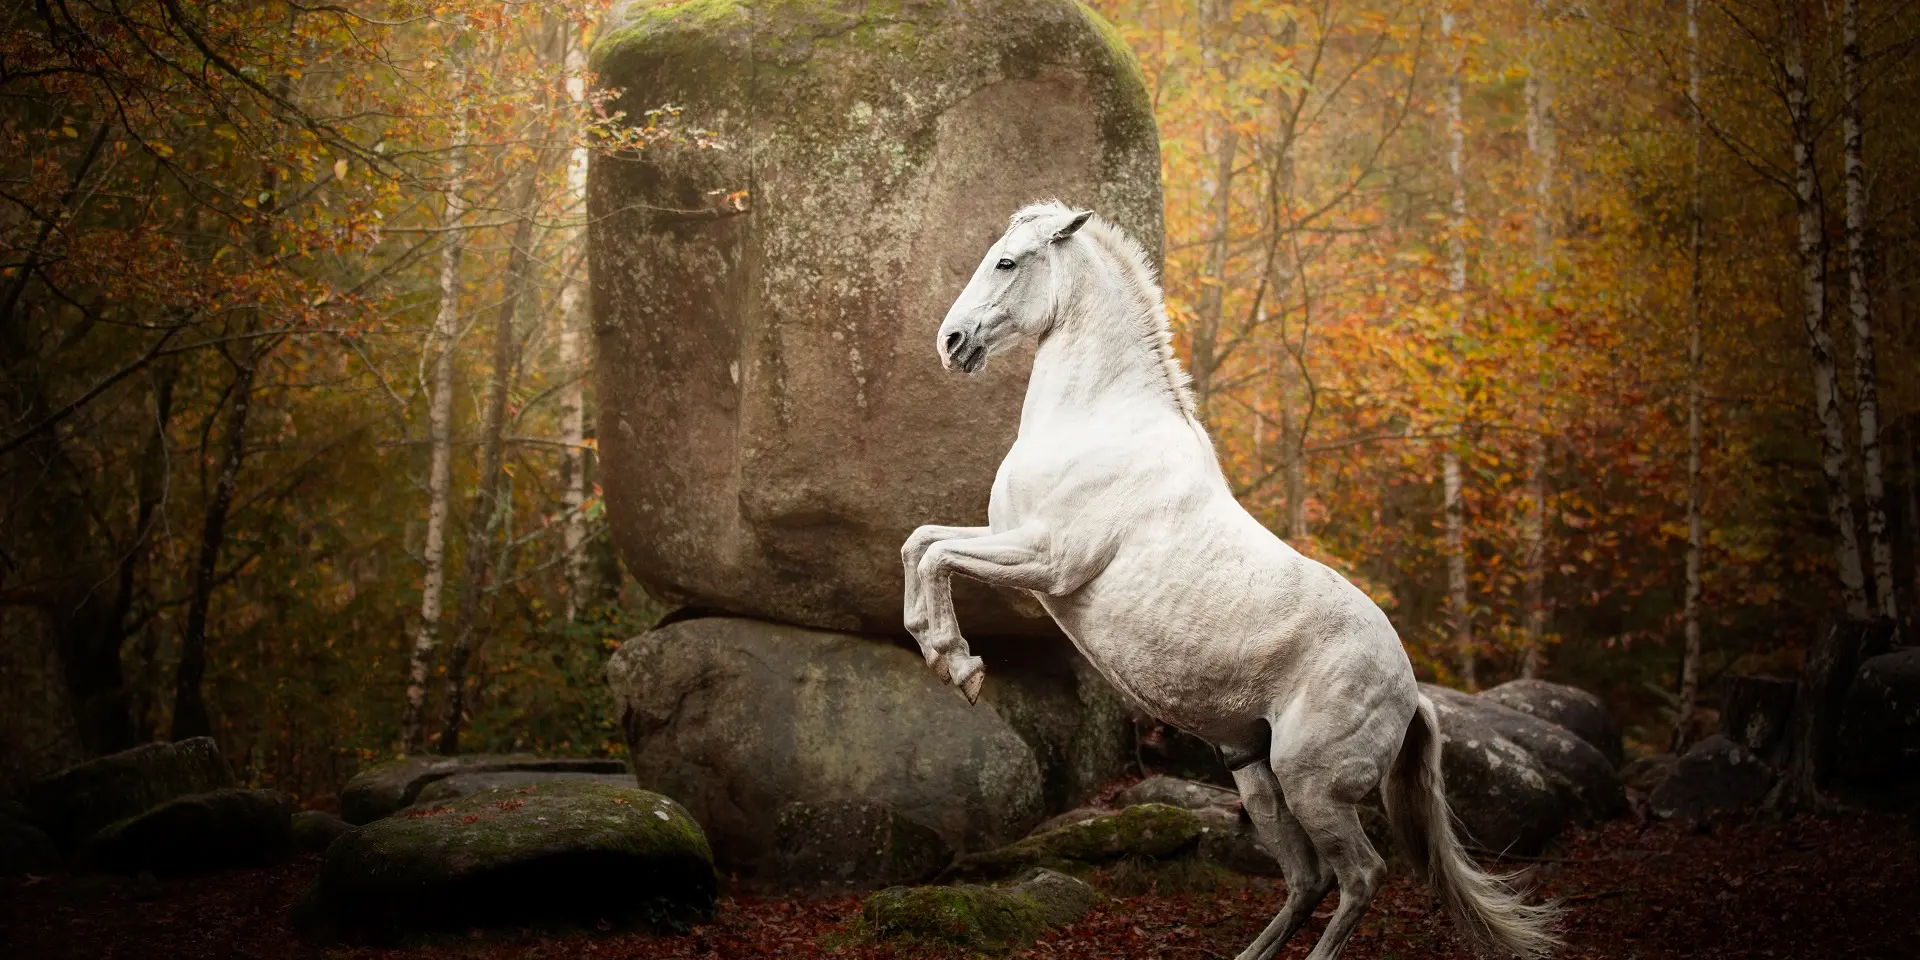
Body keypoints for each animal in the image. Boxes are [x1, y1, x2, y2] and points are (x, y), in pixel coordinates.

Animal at [900, 201, 1560, 959]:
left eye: (1007, 261)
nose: (951, 341)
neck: (1099, 424)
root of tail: (1412, 693)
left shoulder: (1047, 561)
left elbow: (937, 556)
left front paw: (960, 666)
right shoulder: (1013, 542)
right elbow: (920, 543)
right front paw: (936, 647)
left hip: (1313, 786)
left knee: (1360, 877)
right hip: (1255, 774)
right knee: (1306, 879)